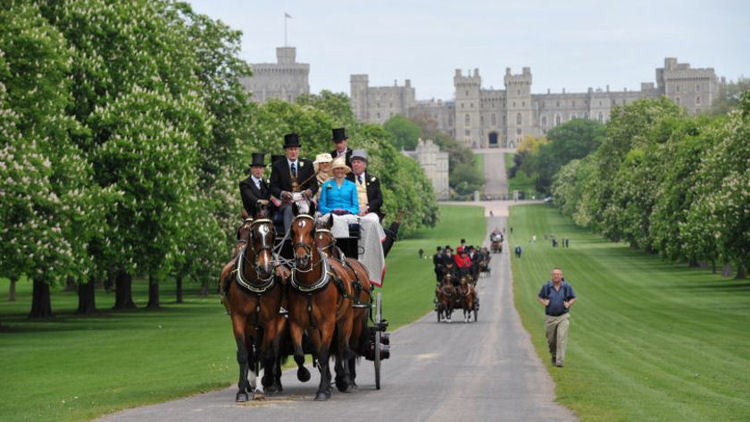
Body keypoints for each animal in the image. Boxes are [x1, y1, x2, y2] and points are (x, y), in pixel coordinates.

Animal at [220, 219, 288, 400]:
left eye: (271, 235)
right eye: (254, 235)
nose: (265, 267)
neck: (257, 285)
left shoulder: (270, 322)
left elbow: (265, 354)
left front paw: (260, 388)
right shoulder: (239, 319)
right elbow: (244, 354)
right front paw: (242, 390)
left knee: (273, 351)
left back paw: (271, 383)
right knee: (251, 352)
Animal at [288, 216, 358, 400]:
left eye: (311, 231)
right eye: (292, 231)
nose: (302, 258)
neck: (310, 287)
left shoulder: (328, 323)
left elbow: (326, 354)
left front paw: (323, 390)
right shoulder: (300, 323)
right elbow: (303, 354)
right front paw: (307, 376)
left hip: (345, 320)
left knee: (342, 347)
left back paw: (345, 380)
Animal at [314, 218, 374, 392]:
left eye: (332, 242)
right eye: (315, 240)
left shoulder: (343, 320)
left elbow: (342, 347)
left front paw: (342, 378)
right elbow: (327, 349)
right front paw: (328, 378)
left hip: (357, 319)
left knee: (350, 346)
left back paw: (351, 378)